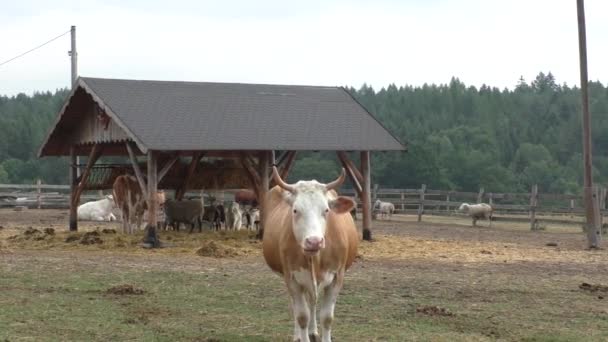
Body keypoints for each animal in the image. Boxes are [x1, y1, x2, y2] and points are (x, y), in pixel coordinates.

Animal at [262, 167, 356, 340]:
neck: (315, 259)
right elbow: (301, 316)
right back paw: (298, 335)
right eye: (295, 210)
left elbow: (327, 317)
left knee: (312, 301)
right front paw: (301, 335)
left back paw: (313, 331)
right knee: (296, 305)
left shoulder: (337, 277)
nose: (314, 241)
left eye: (326, 210)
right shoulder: (291, 277)